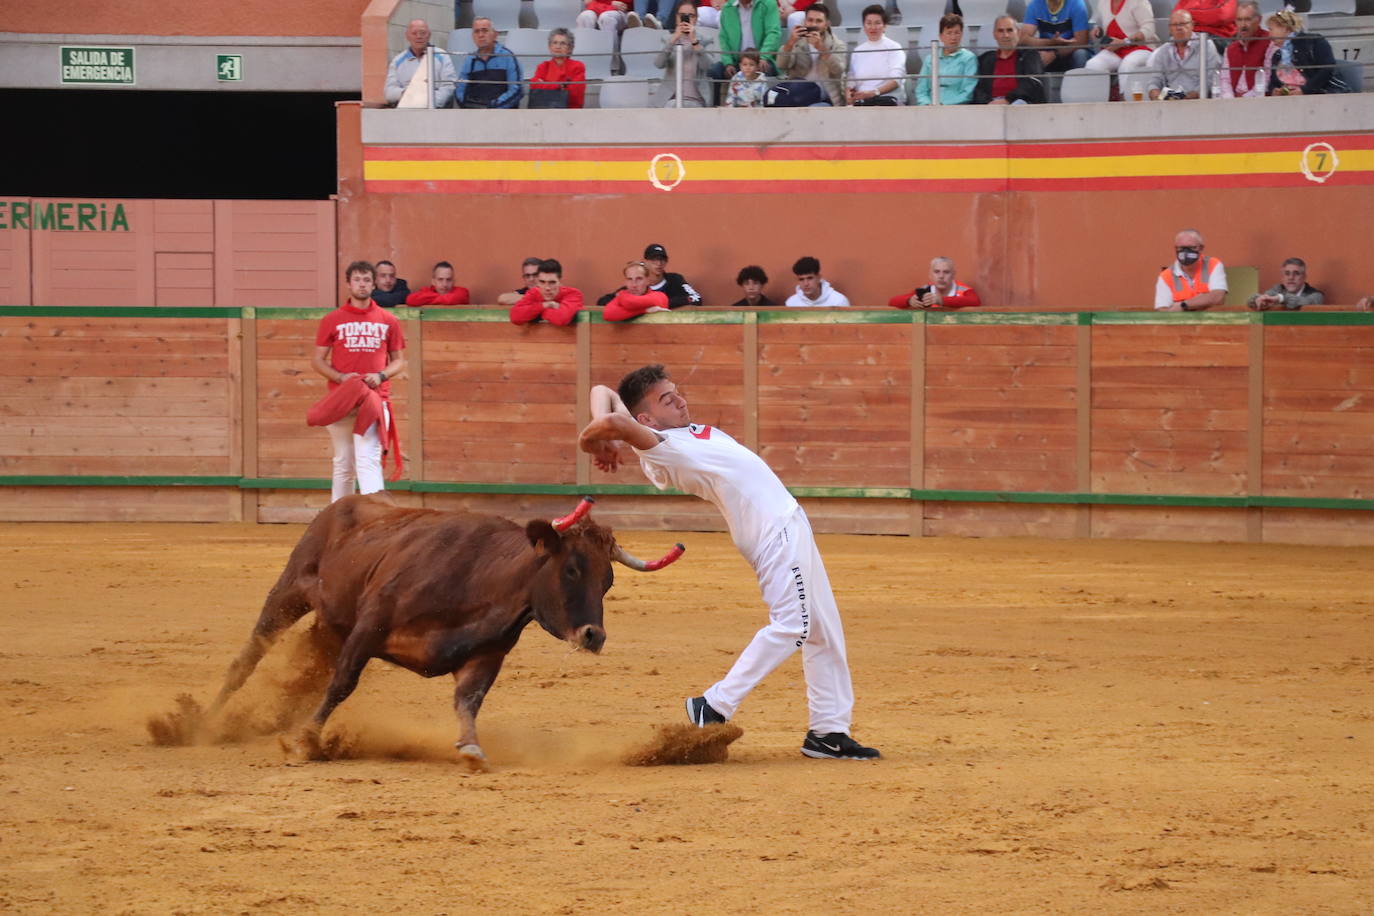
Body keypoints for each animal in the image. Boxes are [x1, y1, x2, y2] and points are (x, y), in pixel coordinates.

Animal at [210, 494, 681, 769]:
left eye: (608, 581)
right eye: (571, 569)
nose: (592, 636)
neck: (481, 580)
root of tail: (344, 502)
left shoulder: (486, 656)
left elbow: (468, 702)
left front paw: (471, 749)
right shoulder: (369, 626)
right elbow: (343, 681)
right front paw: (305, 740)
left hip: (331, 623)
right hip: (289, 590)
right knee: (250, 655)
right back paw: (209, 716)